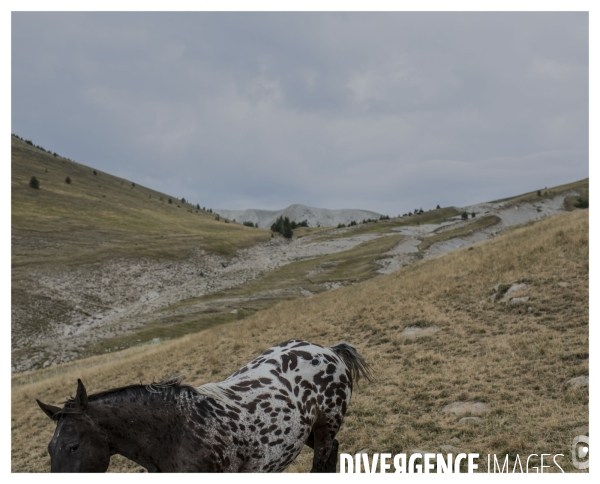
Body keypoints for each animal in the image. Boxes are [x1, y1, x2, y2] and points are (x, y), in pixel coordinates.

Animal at [37, 340, 372, 472]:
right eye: (50, 450)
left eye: (73, 447)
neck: (177, 435)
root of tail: (328, 350)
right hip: (308, 434)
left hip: (325, 427)